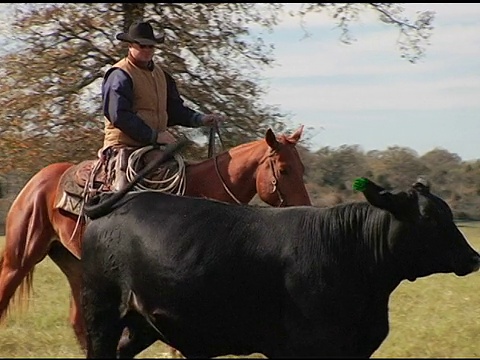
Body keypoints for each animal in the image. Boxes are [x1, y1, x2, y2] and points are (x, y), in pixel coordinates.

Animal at [0, 125, 312, 352]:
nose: (306, 207)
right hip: (20, 256)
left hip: (76, 267)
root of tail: (39, 179)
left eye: (302, 168)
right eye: (284, 169)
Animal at [81, 176, 480, 358]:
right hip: (101, 312)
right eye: (428, 217)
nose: (474, 257)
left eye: (447, 211)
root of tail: (115, 201)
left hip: (140, 322)